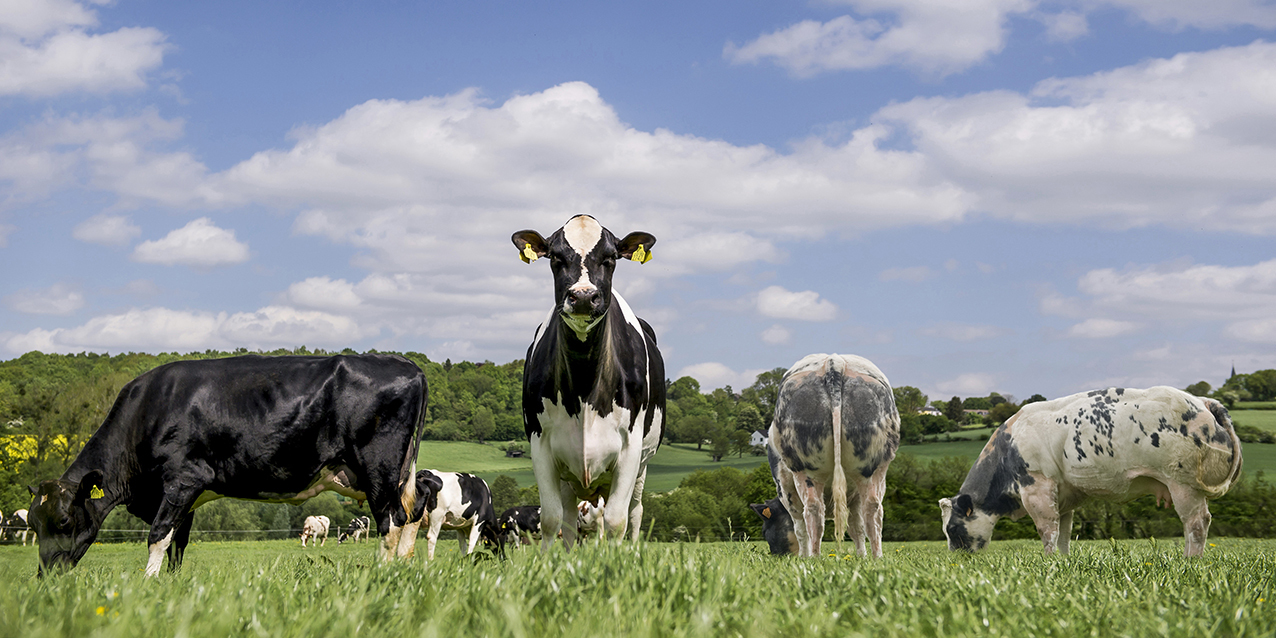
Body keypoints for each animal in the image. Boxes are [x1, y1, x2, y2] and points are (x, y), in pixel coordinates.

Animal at [23, 354, 428, 579]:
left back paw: (381, 574)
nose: (46, 577)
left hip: (379, 467)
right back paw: (404, 570)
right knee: (413, 511)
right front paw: (171, 585)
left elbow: (158, 536)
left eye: (64, 521)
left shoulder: (182, 480)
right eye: (33, 524)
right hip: (398, 473)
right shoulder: (186, 496)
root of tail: (406, 364)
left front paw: (147, 584)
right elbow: (178, 544)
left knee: (391, 521)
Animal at [510, 214, 668, 548]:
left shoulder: (630, 448)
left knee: (635, 511)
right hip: (569, 475)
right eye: (556, 258)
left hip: (642, 465)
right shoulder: (540, 444)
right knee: (569, 520)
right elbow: (552, 519)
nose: (583, 296)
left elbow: (617, 520)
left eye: (610, 259)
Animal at [750, 354, 903, 558]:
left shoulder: (783, 484)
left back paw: (813, 558)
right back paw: (877, 557)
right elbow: (856, 527)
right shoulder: (854, 497)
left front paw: (803, 556)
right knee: (873, 509)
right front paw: (861, 557)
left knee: (813, 510)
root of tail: (834, 361)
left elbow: (799, 526)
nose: (776, 555)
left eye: (764, 531)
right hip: (871, 466)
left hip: (805, 467)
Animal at [944, 385, 1240, 556]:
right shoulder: (1063, 497)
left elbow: (1047, 530)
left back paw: (1190, 561)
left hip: (1183, 483)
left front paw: (1048, 562)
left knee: (1197, 522)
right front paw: (1061, 563)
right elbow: (1063, 533)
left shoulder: (1037, 488)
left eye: (953, 528)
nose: (956, 560)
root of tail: (1202, 401)